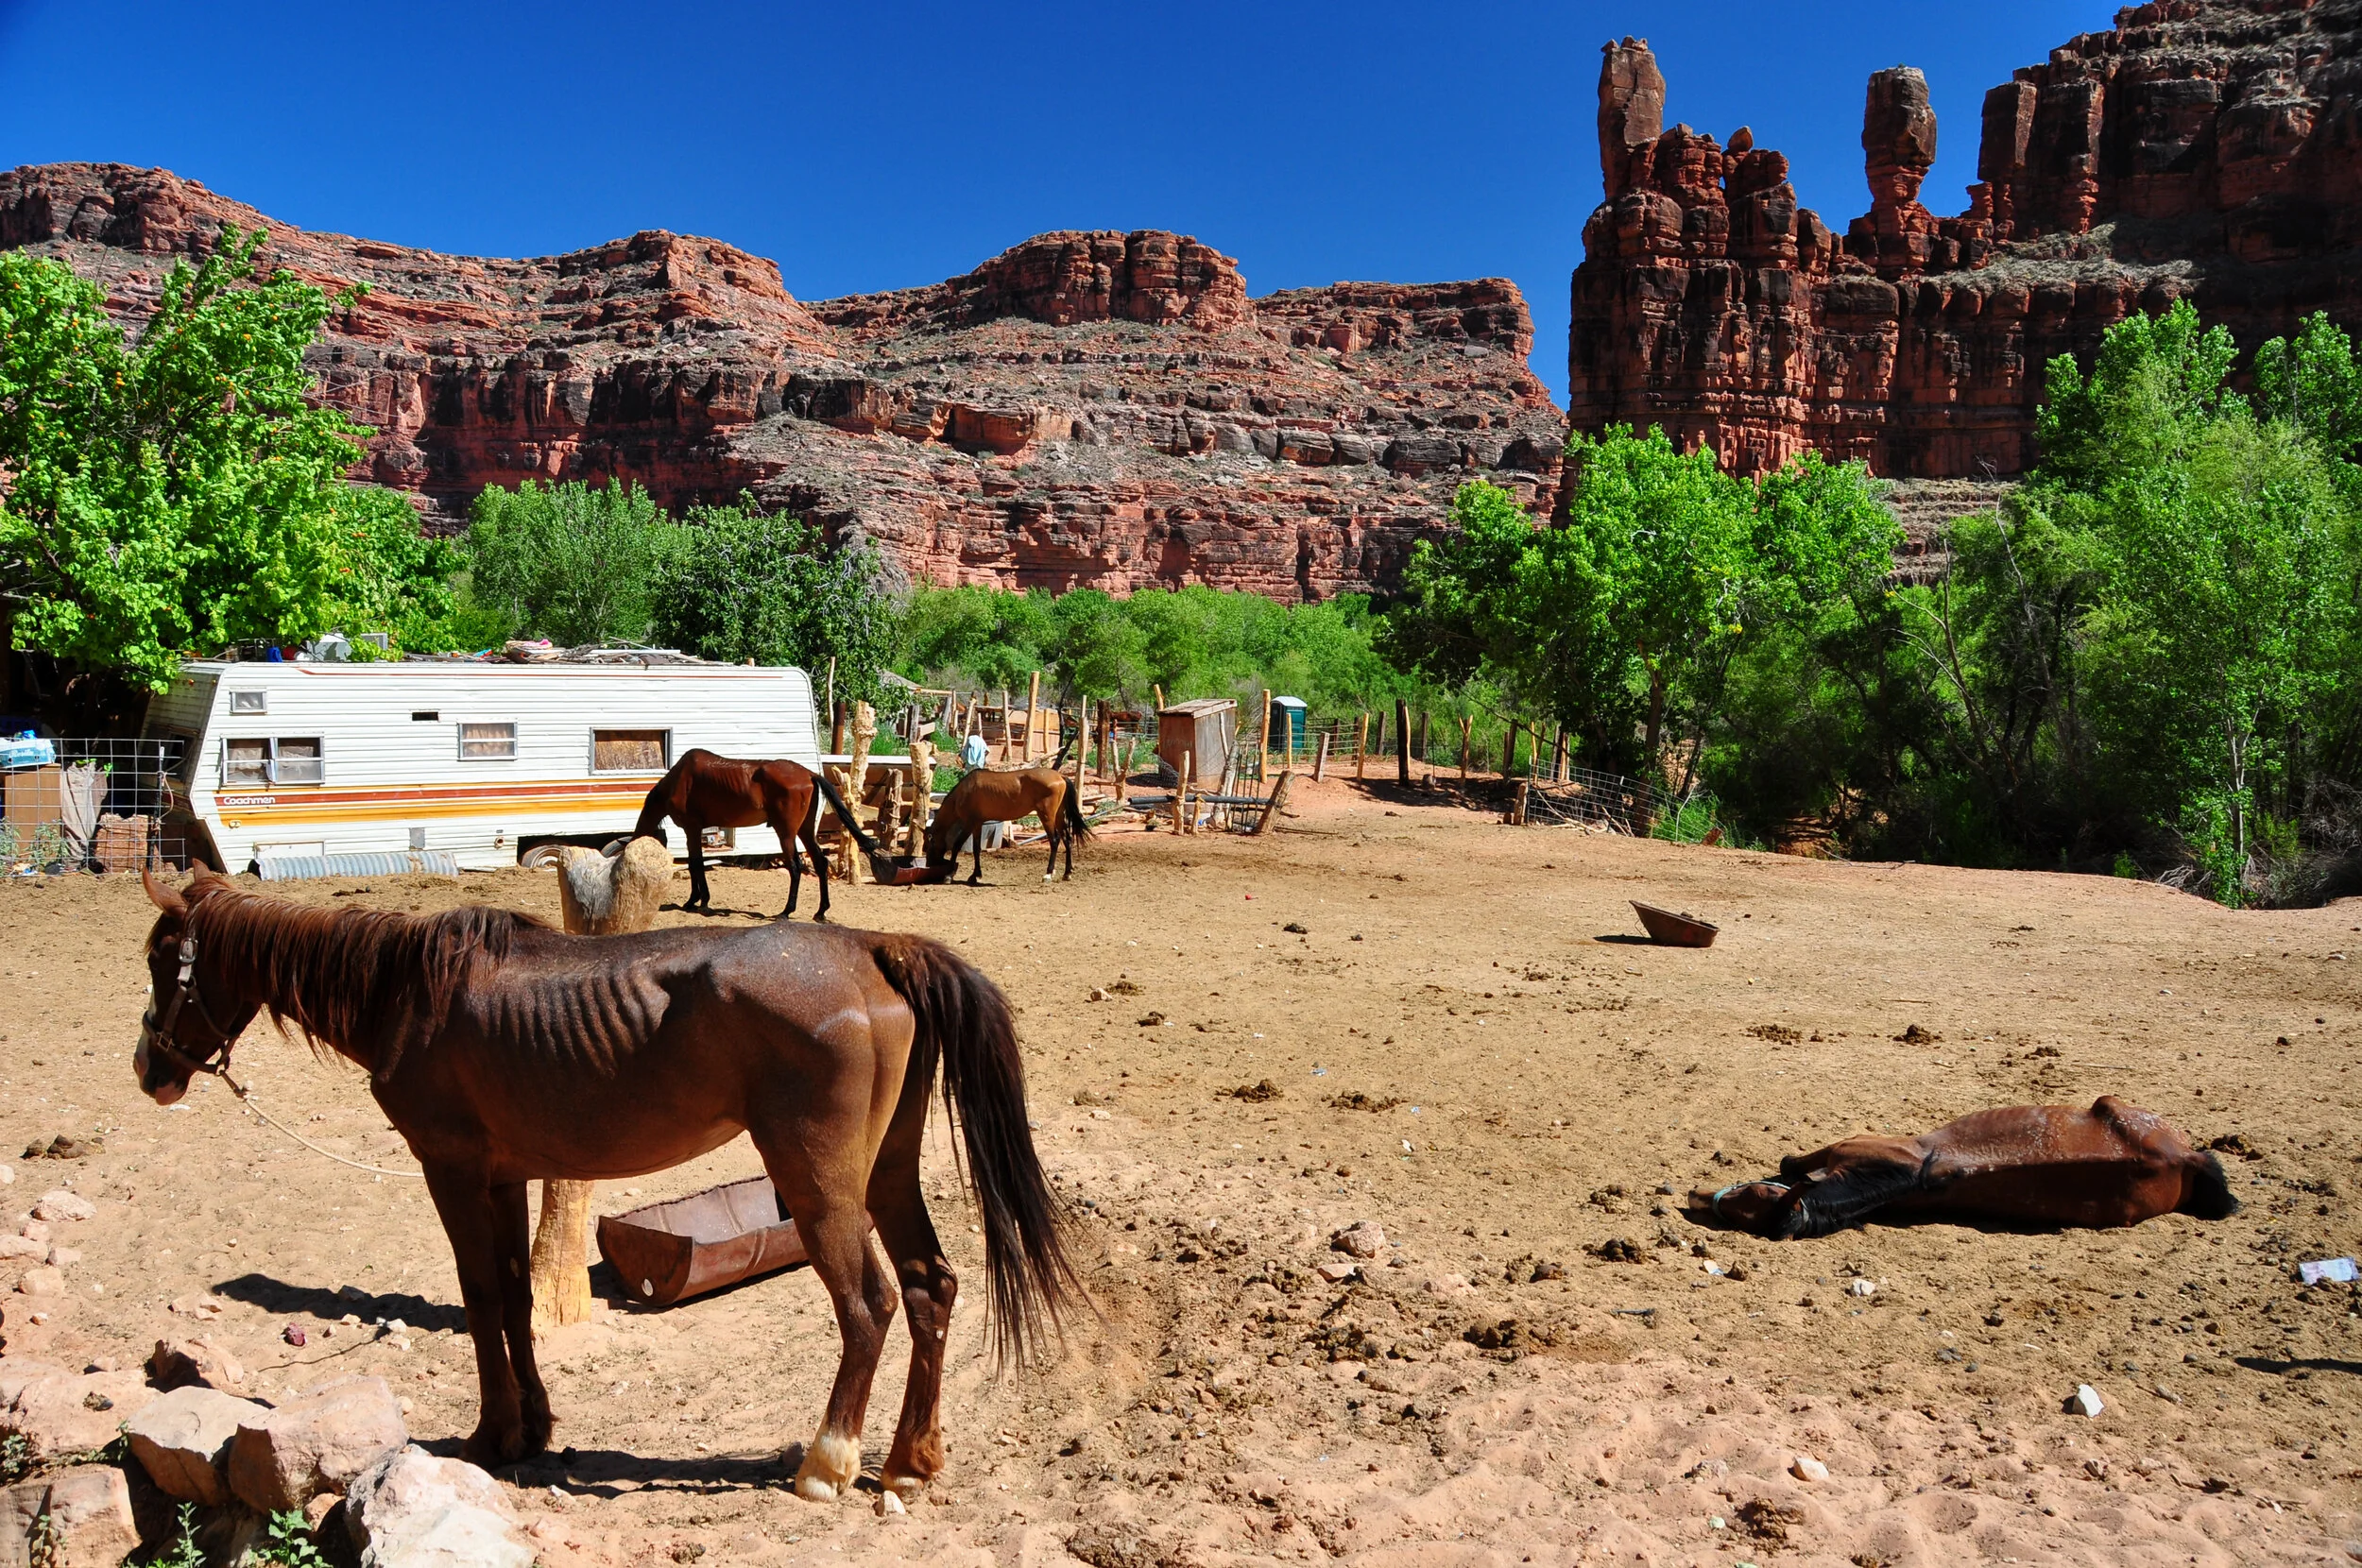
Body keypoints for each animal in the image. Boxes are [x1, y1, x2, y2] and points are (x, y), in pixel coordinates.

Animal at [130, 867, 1077, 1504]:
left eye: (163, 962)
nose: (149, 1070)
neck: (409, 993)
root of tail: (875, 949)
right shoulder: (504, 1177)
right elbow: (515, 1299)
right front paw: (534, 1428)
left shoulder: (451, 1171)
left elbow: (480, 1298)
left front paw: (492, 1435)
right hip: (887, 1174)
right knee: (929, 1289)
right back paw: (911, 1462)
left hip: (821, 1186)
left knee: (870, 1305)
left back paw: (827, 1464)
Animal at [632, 749, 875, 920]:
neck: (678, 780)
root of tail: (809, 774)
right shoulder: (695, 831)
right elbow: (696, 864)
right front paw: (698, 901)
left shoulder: (691, 830)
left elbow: (696, 865)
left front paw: (697, 901)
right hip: (805, 831)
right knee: (820, 863)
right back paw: (821, 911)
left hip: (786, 833)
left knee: (795, 867)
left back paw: (786, 911)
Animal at [923, 768, 1090, 885]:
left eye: (930, 843)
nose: (929, 863)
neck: (964, 791)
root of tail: (1060, 777)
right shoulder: (977, 824)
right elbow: (977, 849)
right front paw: (975, 875)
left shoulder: (969, 823)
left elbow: (957, 845)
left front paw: (949, 875)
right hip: (1059, 816)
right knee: (1067, 840)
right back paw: (1067, 873)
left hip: (1047, 816)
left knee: (1054, 841)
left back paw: (1048, 874)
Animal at [1688, 1097, 2238, 1239]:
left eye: (1751, 1199)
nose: (1696, 1197)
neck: (1909, 1177)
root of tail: (2182, 1156)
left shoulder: (1843, 1148)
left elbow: (1791, 1165)